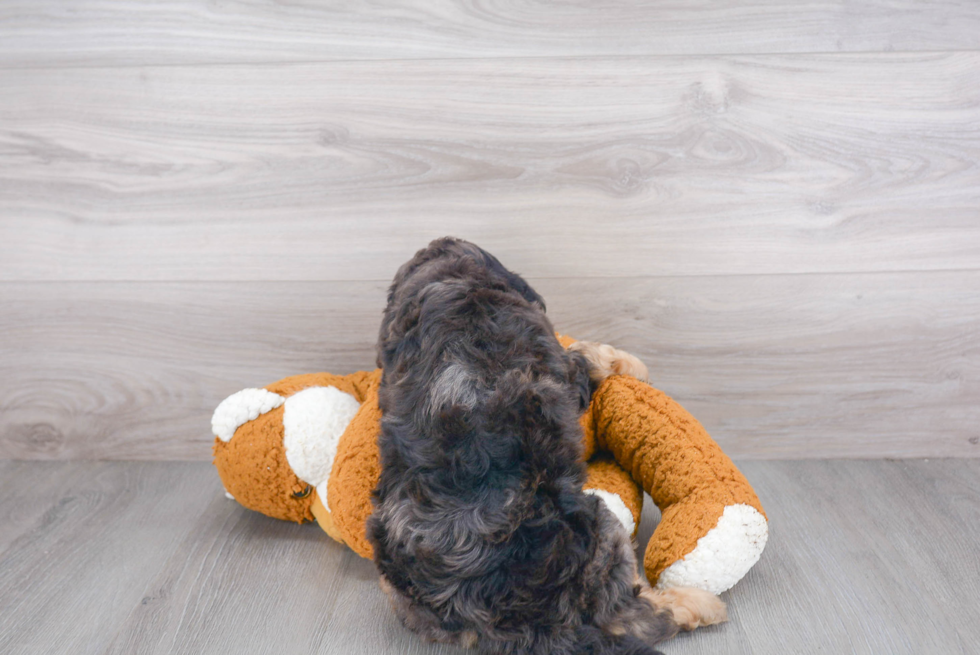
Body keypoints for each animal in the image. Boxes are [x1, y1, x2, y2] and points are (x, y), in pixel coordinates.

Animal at [366, 237, 720, 655]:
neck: (449, 281)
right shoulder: (564, 370)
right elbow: (591, 358)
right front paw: (633, 365)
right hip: (601, 533)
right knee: (637, 615)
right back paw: (698, 603)